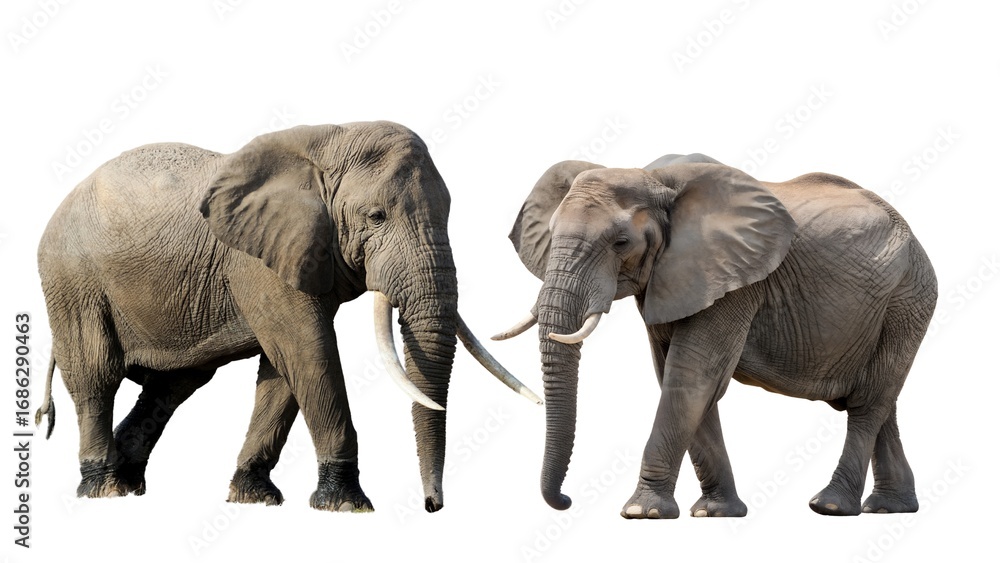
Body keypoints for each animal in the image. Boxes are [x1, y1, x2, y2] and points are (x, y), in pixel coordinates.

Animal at [35, 121, 539, 513]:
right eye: (376, 216)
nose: (432, 506)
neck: (330, 140)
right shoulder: (258, 259)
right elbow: (308, 349)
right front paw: (346, 505)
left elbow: (282, 369)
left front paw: (253, 497)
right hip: (72, 279)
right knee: (96, 374)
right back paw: (103, 489)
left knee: (174, 384)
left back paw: (129, 484)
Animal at [496, 153, 937, 518]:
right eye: (551, 234)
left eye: (621, 243)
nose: (565, 501)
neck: (653, 178)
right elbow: (679, 378)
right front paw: (715, 512)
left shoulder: (733, 281)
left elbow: (691, 376)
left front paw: (642, 512)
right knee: (881, 401)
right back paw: (889, 507)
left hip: (907, 299)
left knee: (868, 403)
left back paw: (831, 506)